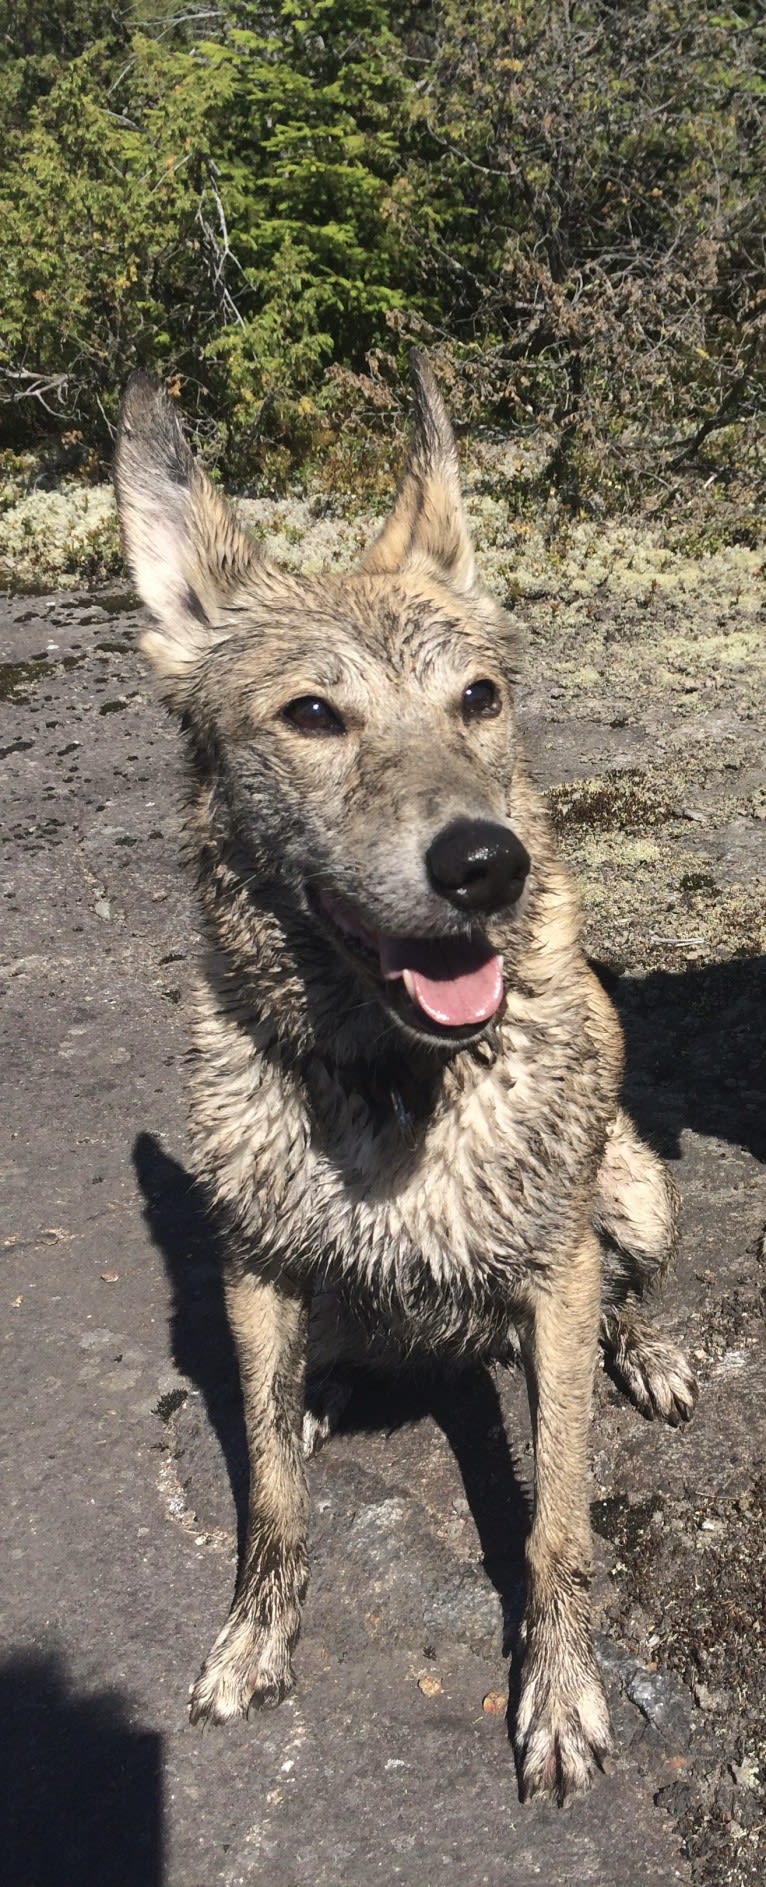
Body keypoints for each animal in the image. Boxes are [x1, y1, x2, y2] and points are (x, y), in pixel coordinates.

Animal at [115, 354, 701, 1796]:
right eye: (313, 714)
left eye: (478, 697)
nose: (484, 863)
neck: (393, 1082)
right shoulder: (253, 1270)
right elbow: (271, 1497)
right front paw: (255, 1634)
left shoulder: (549, 1276)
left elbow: (556, 1524)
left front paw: (560, 1687)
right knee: (315, 1373)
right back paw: (323, 1391)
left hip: (636, 1193)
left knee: (629, 1285)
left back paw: (647, 1347)